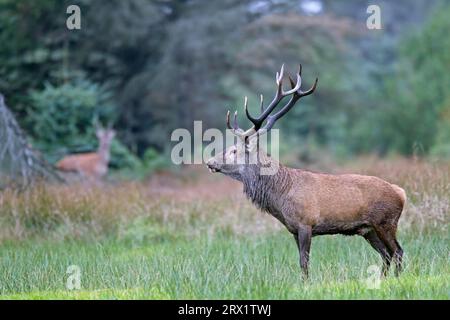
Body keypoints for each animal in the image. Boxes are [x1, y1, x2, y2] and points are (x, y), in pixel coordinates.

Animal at [208, 65, 408, 278]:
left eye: (233, 150)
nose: (210, 162)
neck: (280, 197)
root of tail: (401, 193)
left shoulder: (306, 223)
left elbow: (304, 262)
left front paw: (306, 282)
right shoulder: (294, 230)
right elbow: (302, 261)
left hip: (386, 221)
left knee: (397, 251)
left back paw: (397, 278)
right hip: (368, 229)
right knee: (386, 254)